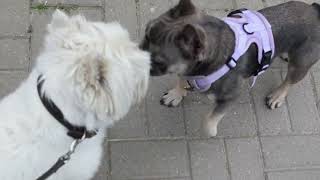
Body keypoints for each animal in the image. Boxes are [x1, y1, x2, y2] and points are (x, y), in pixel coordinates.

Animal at [141, 0, 320, 136]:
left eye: (158, 62)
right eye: (146, 34)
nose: (139, 51)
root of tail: (315, 11)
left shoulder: (230, 97)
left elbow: (210, 118)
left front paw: (210, 130)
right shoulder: (187, 71)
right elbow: (181, 79)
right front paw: (176, 93)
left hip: (301, 63)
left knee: (290, 81)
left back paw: (277, 96)